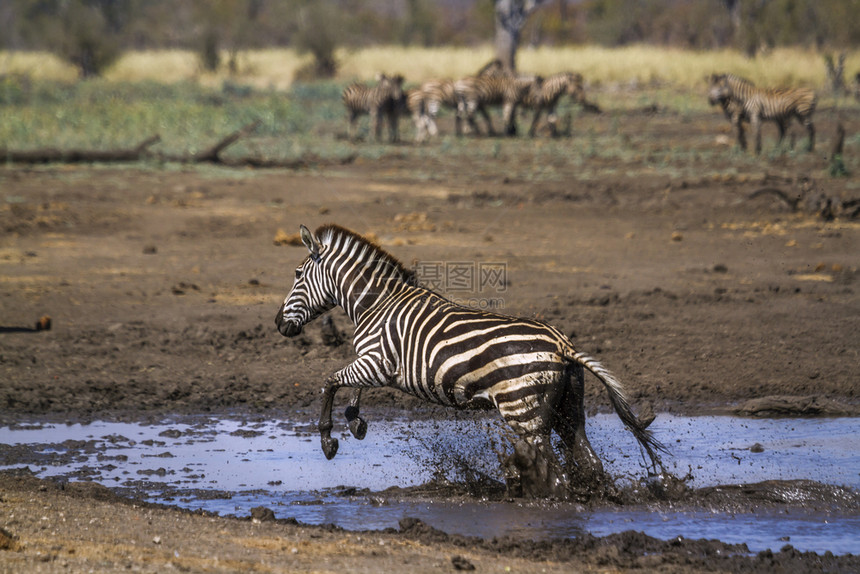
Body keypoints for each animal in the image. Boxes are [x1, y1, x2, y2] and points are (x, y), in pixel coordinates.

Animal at [276, 223, 664, 498]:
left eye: (297, 275)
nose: (278, 324)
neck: (377, 304)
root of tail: (562, 344)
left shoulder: (377, 362)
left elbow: (330, 381)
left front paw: (328, 441)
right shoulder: (373, 363)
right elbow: (350, 385)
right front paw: (355, 421)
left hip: (524, 413)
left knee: (557, 474)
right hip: (569, 410)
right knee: (588, 460)